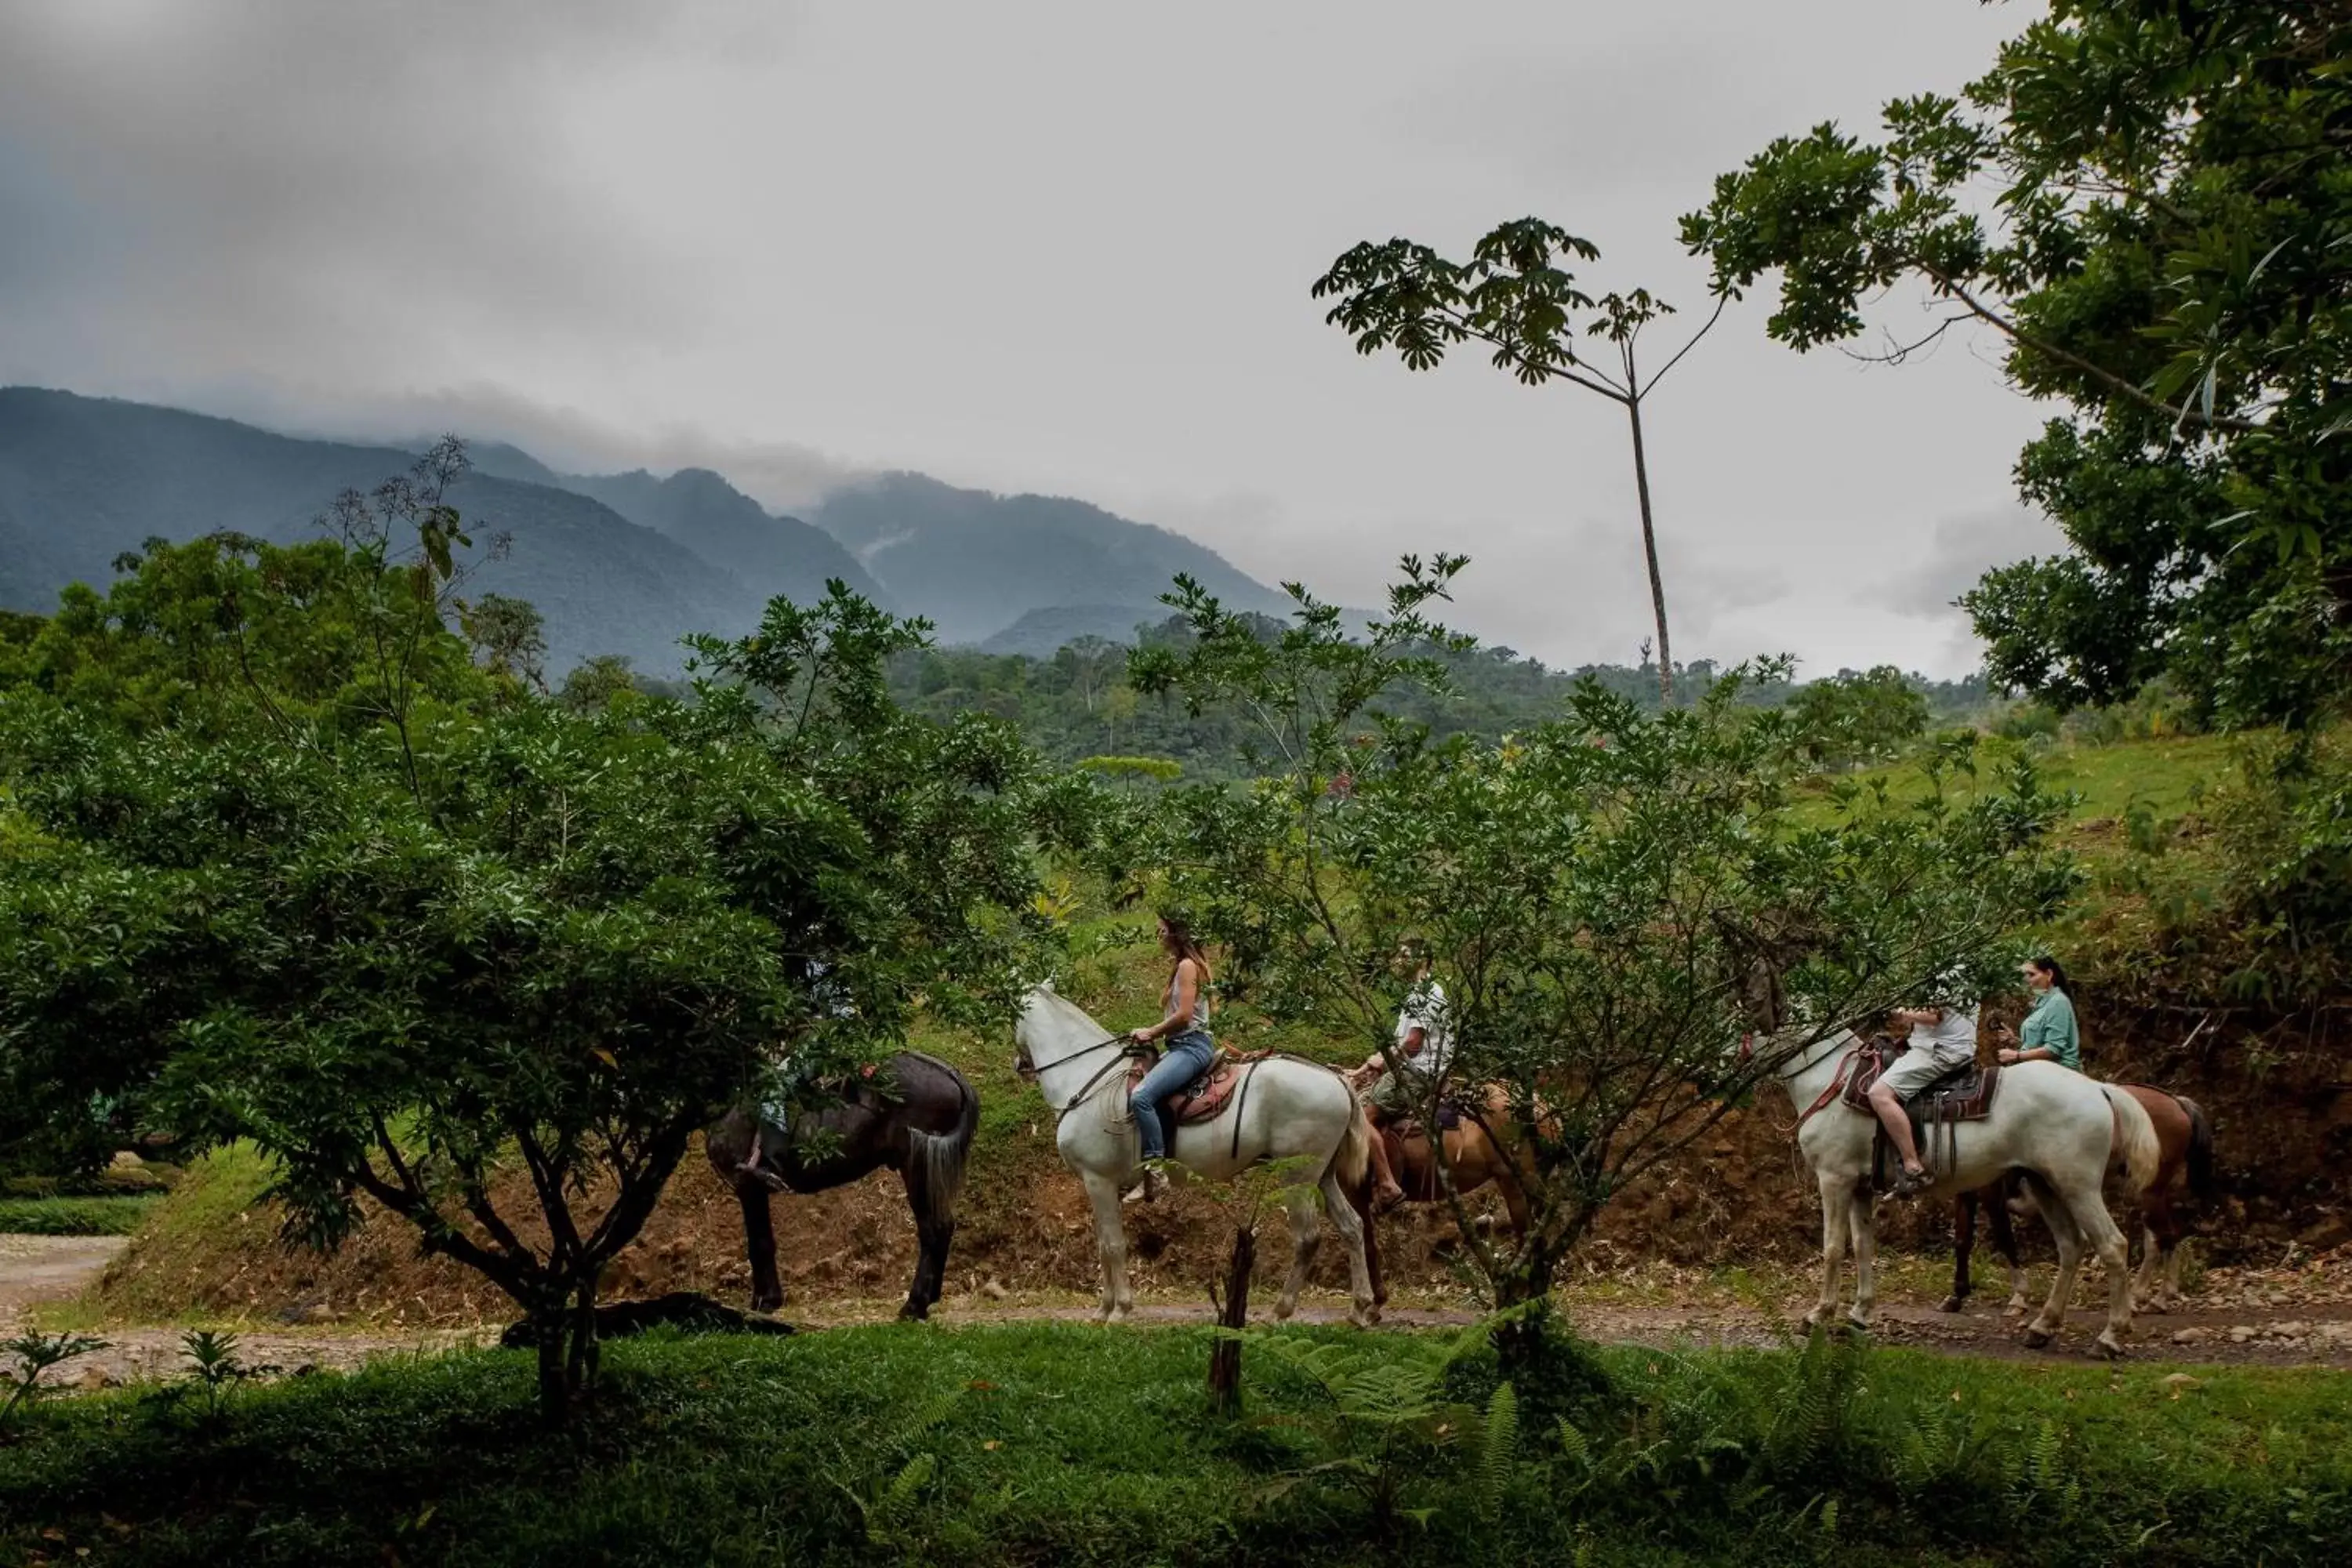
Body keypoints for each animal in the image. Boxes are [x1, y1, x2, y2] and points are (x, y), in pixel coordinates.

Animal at [706, 1053, 983, 1326]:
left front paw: (764, 1301)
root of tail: (949, 1075)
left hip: (918, 1165)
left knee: (933, 1229)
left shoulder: (749, 1186)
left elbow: (759, 1244)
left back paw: (914, 1306)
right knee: (943, 1227)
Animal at [1011, 987, 1374, 1335]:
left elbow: (1113, 1245)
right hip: (1322, 1176)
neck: (1090, 1082)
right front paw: (1103, 1310)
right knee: (1352, 1227)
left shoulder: (1099, 1180)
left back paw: (1280, 1311)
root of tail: (1336, 1079)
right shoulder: (1100, 1185)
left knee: (1308, 1239)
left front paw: (1119, 1310)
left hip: (1297, 1177)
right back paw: (1360, 1308)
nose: (1019, 1064)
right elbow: (1103, 1245)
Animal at [1759, 1029, 2154, 1363]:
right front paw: (1859, 1314)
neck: (1832, 1082)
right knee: (2071, 1246)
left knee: (2113, 1246)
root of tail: (2099, 1089)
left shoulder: (1834, 1181)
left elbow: (1832, 1249)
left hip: (2078, 1188)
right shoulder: (1859, 1188)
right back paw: (2042, 1327)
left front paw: (1818, 1316)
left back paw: (2109, 1336)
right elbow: (1862, 1247)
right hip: (2047, 1185)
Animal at [1938, 1086, 2211, 1316]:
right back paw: (2140, 1296)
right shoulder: (1966, 1194)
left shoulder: (1992, 1195)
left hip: (2147, 1191)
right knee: (2156, 1240)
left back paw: (2160, 1297)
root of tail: (2177, 1102)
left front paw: (2019, 1297)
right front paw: (1956, 1296)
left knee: (2167, 1236)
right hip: (2141, 1190)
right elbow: (1962, 1241)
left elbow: (2005, 1239)